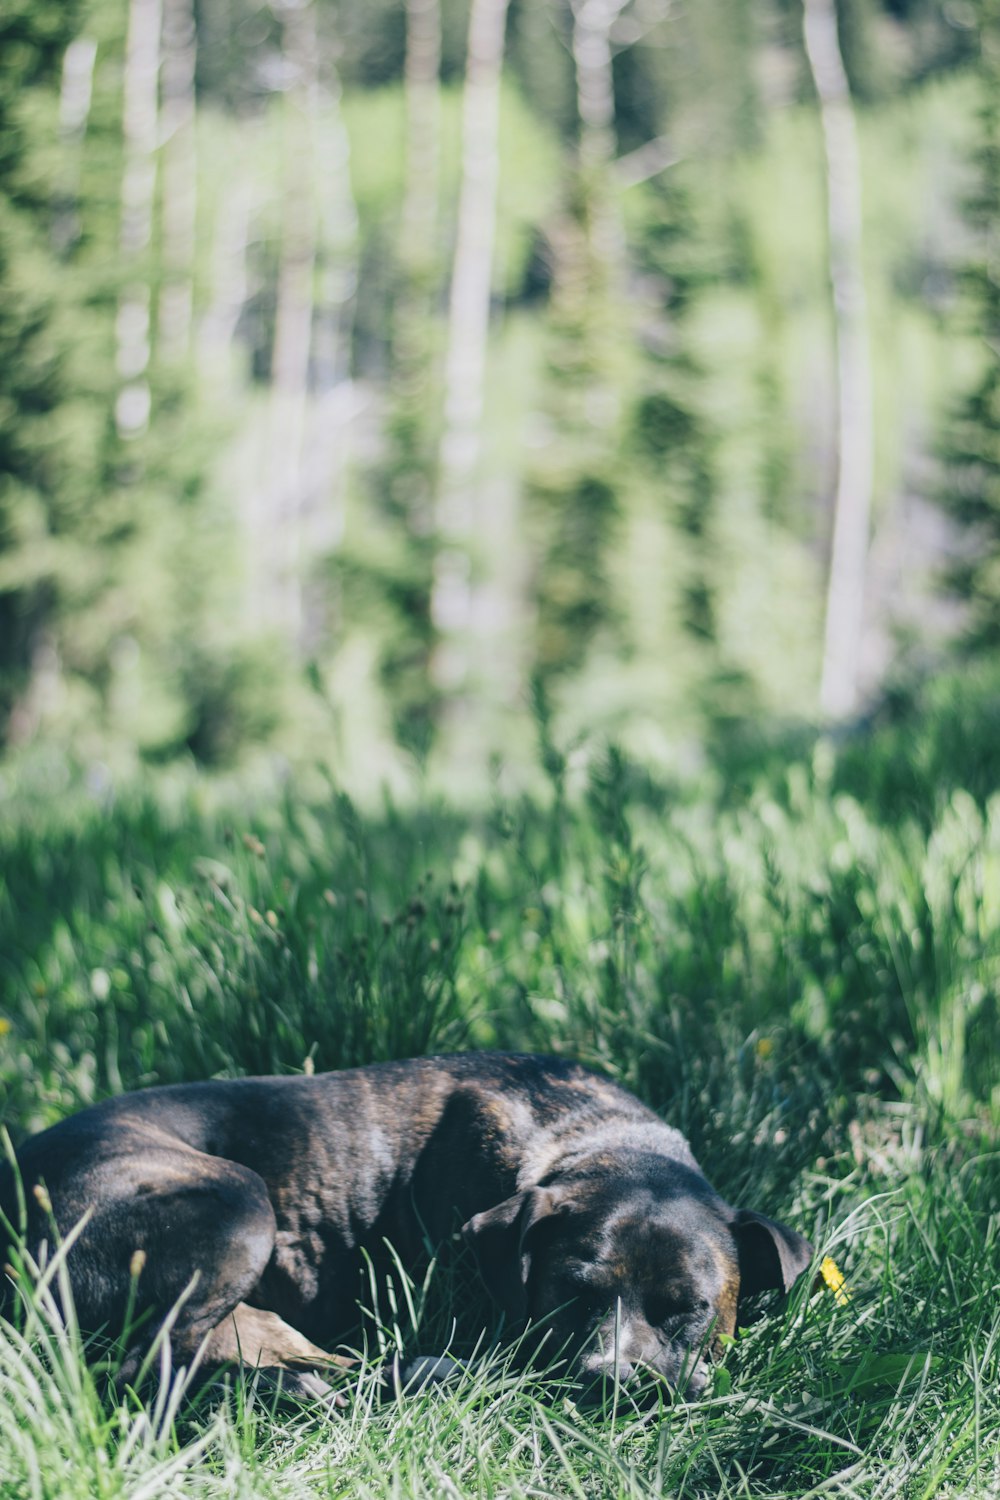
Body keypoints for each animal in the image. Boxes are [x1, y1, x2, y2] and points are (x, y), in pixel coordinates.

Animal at [1, 1050, 815, 1398]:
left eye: (691, 1310)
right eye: (570, 1293)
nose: (611, 1381)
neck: (597, 1139)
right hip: (237, 1205)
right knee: (145, 1370)